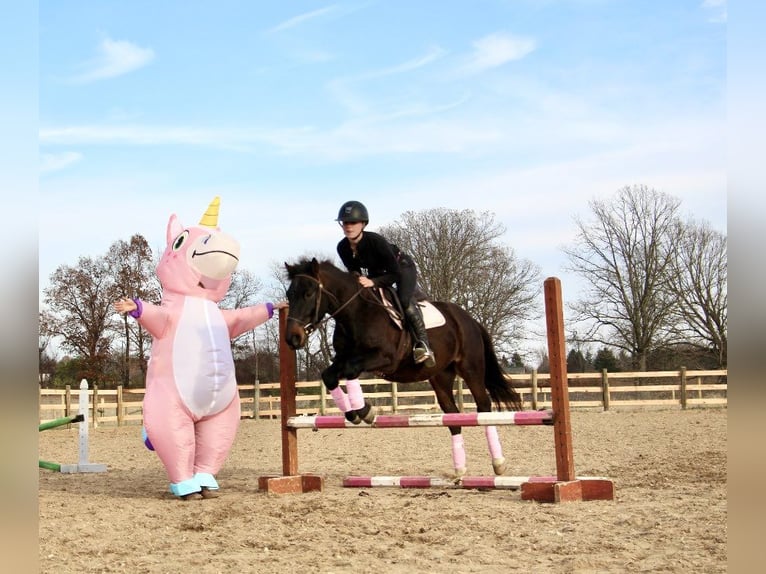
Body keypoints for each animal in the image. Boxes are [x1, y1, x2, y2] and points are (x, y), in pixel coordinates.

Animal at [284, 258, 524, 480]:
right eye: (289, 295)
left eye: (308, 294)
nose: (292, 338)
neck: (356, 313)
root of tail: (469, 319)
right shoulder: (343, 359)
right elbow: (329, 376)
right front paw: (352, 413)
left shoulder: (384, 358)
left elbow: (351, 371)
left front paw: (365, 411)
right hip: (440, 376)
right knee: (452, 415)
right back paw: (460, 469)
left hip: (471, 369)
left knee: (483, 407)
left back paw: (499, 463)